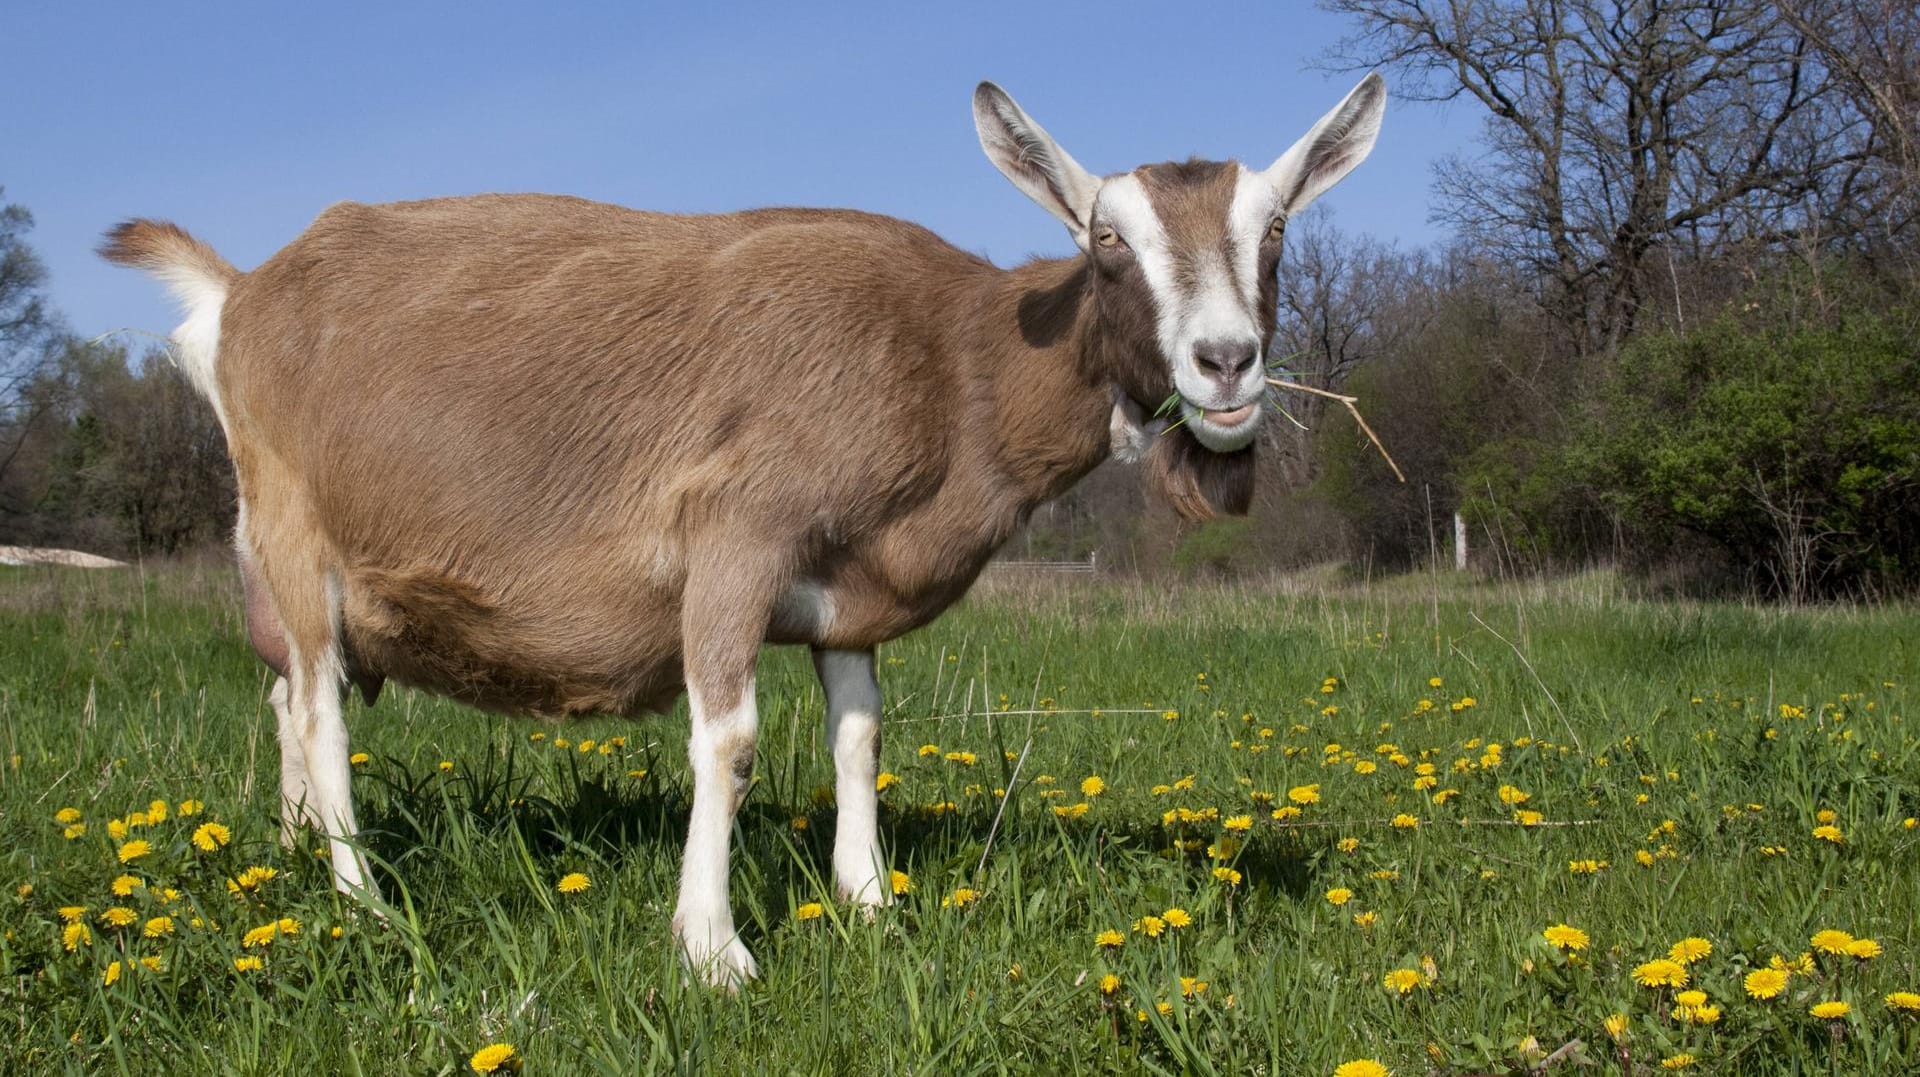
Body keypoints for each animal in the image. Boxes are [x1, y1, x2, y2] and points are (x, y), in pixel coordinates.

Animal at [101, 75, 1382, 982]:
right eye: (1107, 242)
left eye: (1275, 232)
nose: (1227, 363)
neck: (952, 358)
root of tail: (242, 294)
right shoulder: (734, 538)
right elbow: (730, 742)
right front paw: (715, 950)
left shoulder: (849, 592)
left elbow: (860, 736)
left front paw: (870, 905)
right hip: (295, 534)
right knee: (318, 709)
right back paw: (360, 895)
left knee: (285, 695)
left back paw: (289, 855)